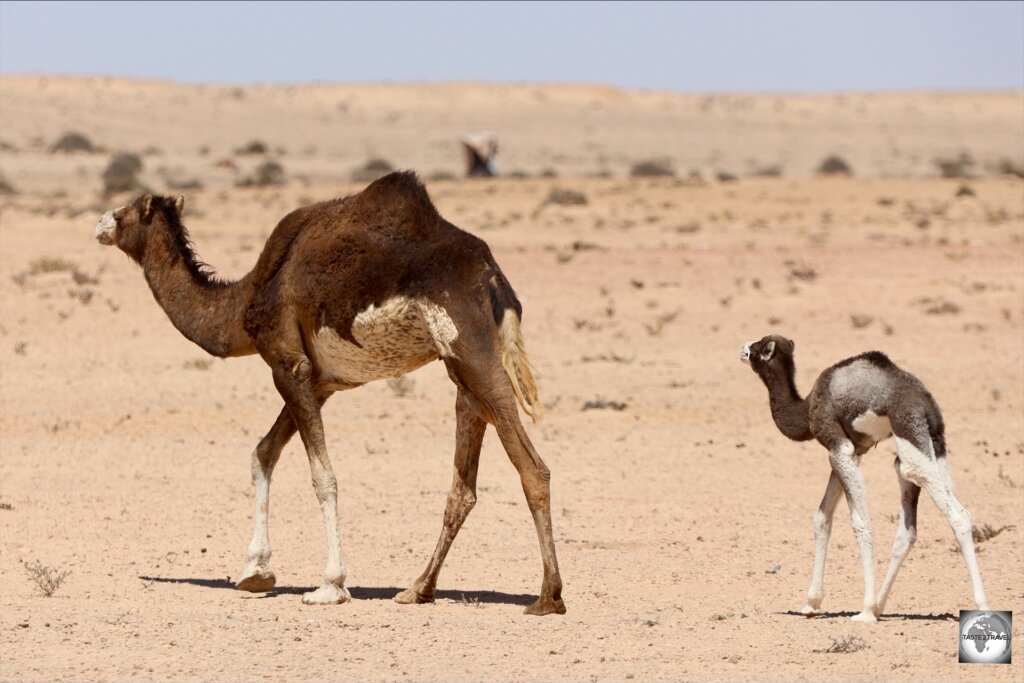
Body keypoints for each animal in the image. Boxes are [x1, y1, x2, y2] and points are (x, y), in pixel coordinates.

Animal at [92, 174, 565, 618]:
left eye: (128, 210)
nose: (99, 223)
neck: (245, 301)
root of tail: (494, 280)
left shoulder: (288, 365)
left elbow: (322, 476)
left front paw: (330, 585)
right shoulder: (320, 380)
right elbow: (263, 453)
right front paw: (255, 571)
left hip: (470, 345)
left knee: (532, 468)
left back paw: (547, 597)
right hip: (461, 369)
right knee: (463, 485)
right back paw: (417, 589)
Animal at [741, 333, 987, 622]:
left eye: (759, 347)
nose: (743, 348)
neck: (807, 407)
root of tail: (926, 403)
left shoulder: (836, 443)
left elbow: (860, 523)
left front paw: (865, 610)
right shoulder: (851, 451)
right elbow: (822, 519)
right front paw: (811, 603)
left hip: (909, 434)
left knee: (957, 514)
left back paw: (978, 605)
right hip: (932, 445)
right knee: (908, 527)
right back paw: (881, 605)